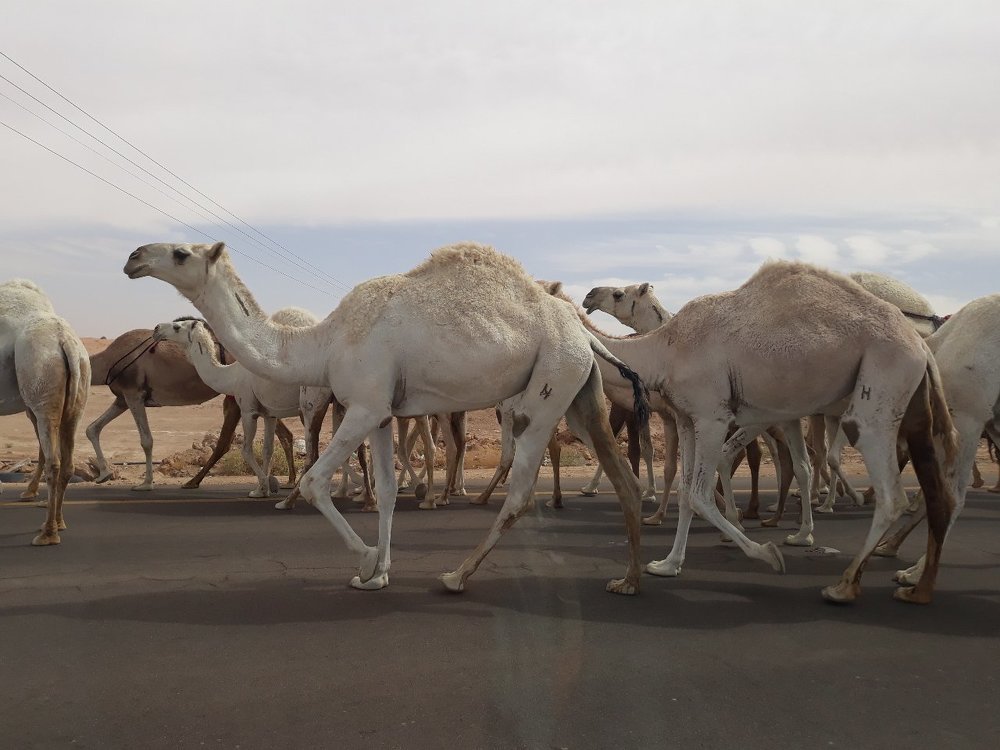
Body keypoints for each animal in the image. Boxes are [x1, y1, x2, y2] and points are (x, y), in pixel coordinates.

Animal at [0, 279, 90, 545]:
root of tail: (65, 342)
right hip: (74, 394)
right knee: (66, 461)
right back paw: (57, 523)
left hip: (40, 381)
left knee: (54, 461)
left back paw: (48, 534)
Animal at [85, 328, 297, 492]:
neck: (108, 360)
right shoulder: (122, 399)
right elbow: (92, 428)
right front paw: (104, 474)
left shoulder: (133, 394)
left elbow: (146, 440)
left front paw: (146, 484)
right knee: (283, 433)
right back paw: (288, 481)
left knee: (225, 442)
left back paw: (193, 482)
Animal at [125, 241, 649, 594]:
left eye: (179, 253)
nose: (133, 258)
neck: (324, 342)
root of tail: (582, 332)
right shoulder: (379, 415)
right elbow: (391, 492)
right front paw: (379, 574)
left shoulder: (365, 405)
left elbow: (314, 481)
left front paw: (365, 560)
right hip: (580, 391)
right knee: (623, 476)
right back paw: (628, 578)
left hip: (549, 385)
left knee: (521, 492)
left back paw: (457, 574)